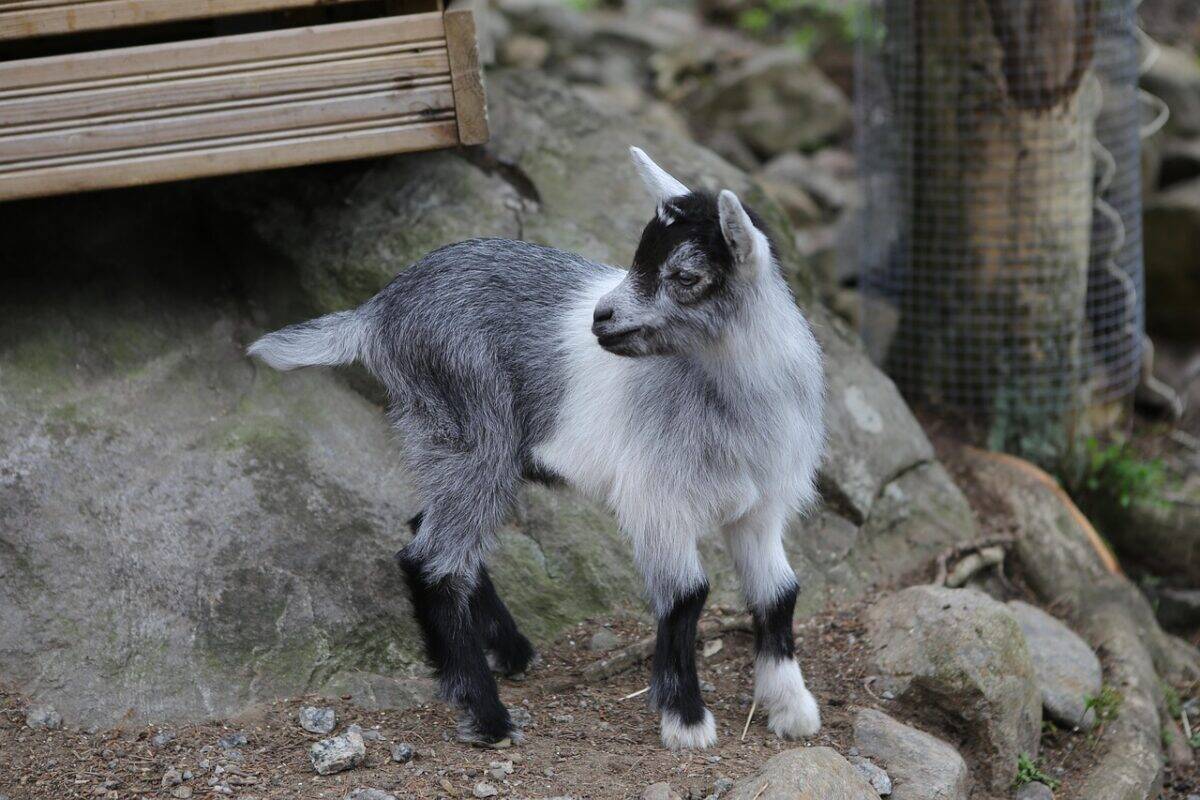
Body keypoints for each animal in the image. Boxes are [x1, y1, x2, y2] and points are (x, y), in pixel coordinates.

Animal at [247, 148, 826, 750]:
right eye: (638, 257)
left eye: (686, 275)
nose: (600, 317)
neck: (735, 399)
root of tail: (378, 312)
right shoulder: (658, 499)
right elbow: (688, 596)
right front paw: (686, 719)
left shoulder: (762, 507)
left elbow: (779, 594)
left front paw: (792, 708)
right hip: (471, 428)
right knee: (431, 561)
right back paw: (487, 716)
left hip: (453, 444)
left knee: (429, 530)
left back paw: (511, 651)